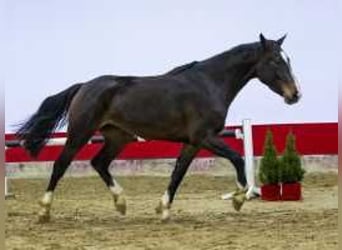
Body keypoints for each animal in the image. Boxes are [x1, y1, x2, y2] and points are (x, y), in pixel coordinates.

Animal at [16, 33, 300, 223]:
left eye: (287, 59)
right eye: (275, 61)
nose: (295, 95)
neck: (209, 84)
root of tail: (84, 86)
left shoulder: (192, 143)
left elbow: (178, 174)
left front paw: (163, 209)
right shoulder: (205, 137)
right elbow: (237, 158)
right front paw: (239, 198)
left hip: (118, 137)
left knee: (99, 163)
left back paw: (121, 204)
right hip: (80, 134)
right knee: (60, 165)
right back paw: (44, 211)